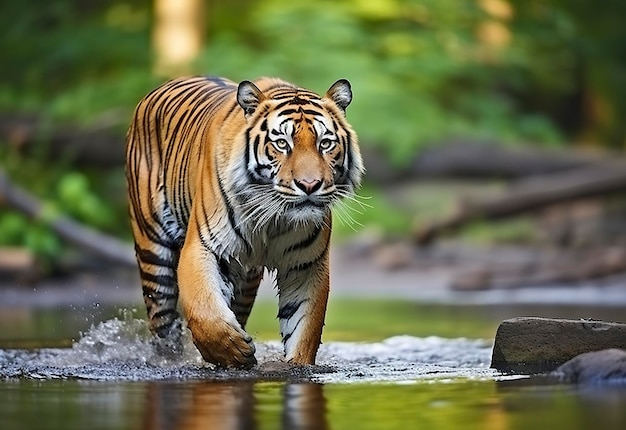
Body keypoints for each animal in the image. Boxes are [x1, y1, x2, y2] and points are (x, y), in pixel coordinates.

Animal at [124, 75, 364, 368]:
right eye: (282, 143)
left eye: (325, 143)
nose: (310, 185)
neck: (273, 218)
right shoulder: (202, 247)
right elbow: (204, 309)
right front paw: (231, 351)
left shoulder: (305, 265)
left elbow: (304, 328)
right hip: (153, 252)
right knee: (163, 321)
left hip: (246, 278)